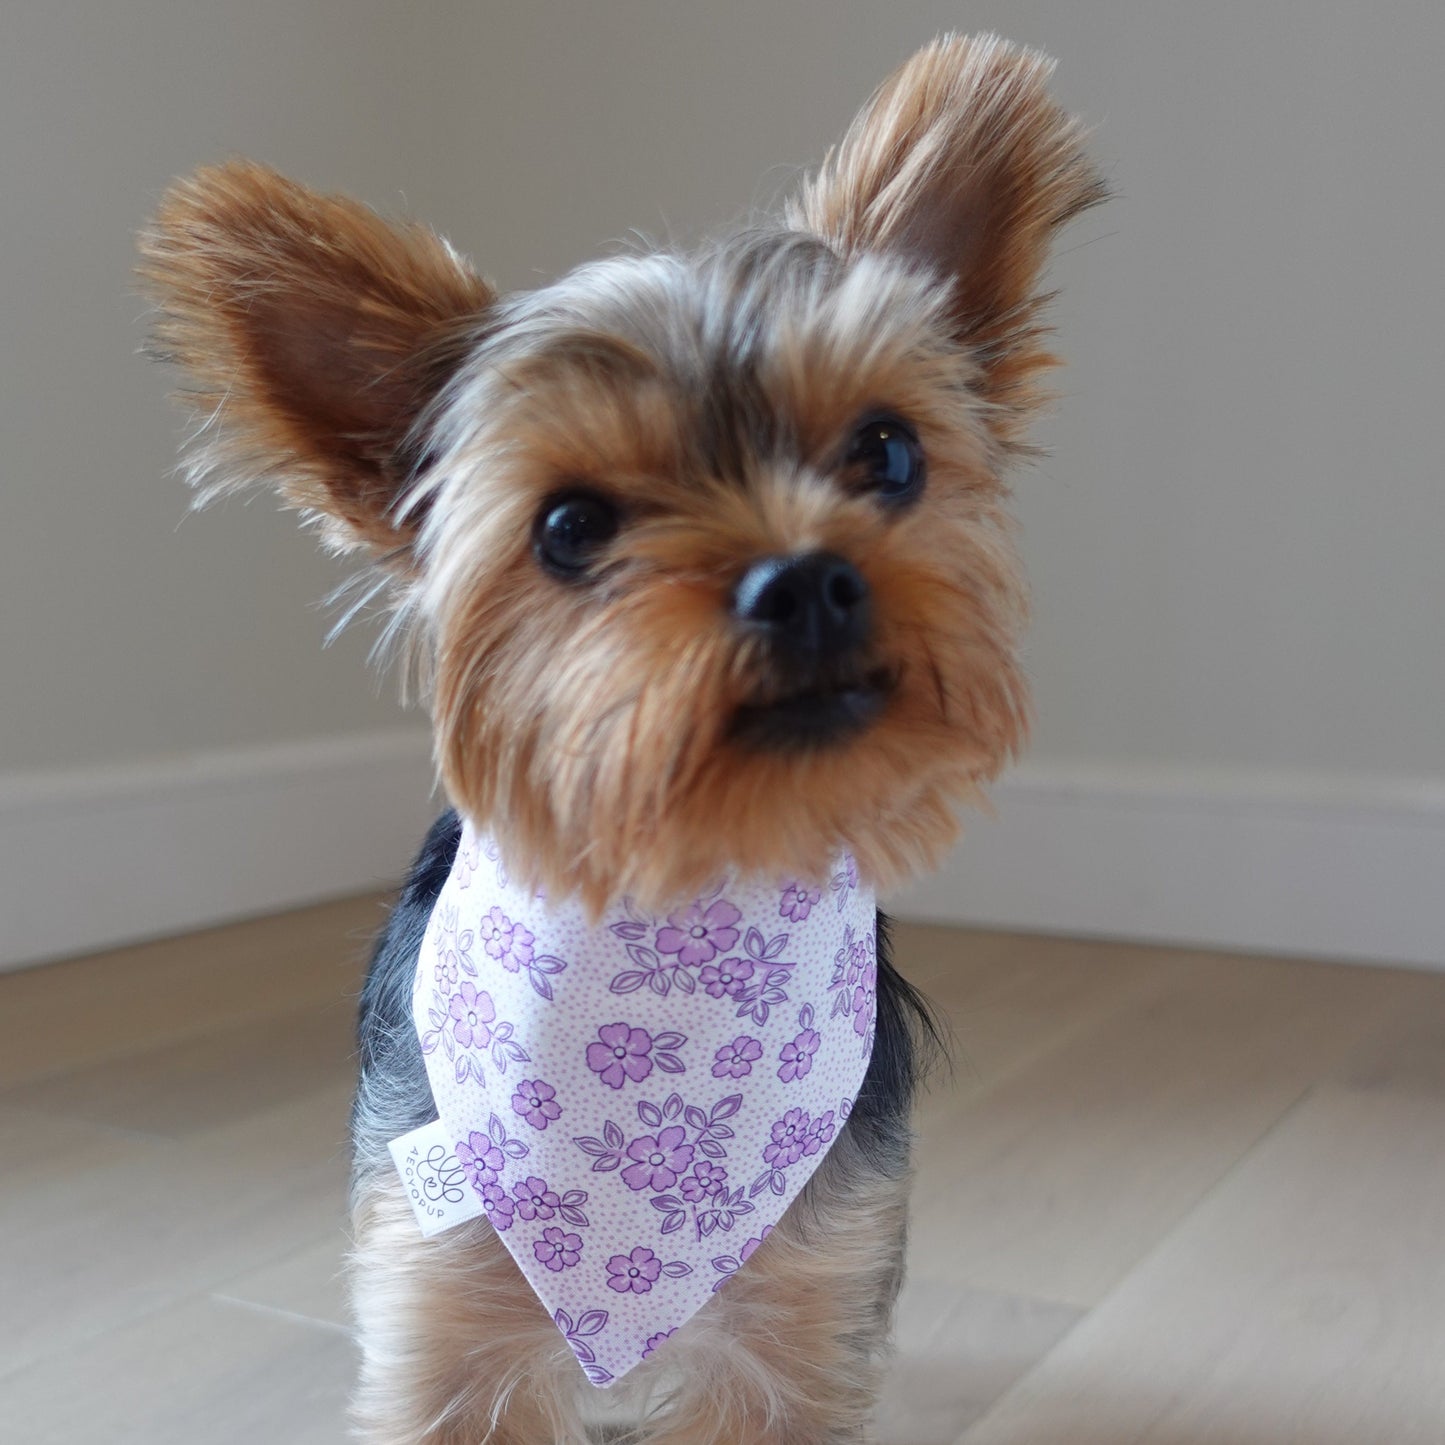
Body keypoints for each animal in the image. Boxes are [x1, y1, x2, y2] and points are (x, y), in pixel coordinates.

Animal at [143, 33, 1092, 1445]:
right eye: (569, 527)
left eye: (887, 451)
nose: (803, 582)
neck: (678, 913)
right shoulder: (446, 1314)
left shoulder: (800, 1325)